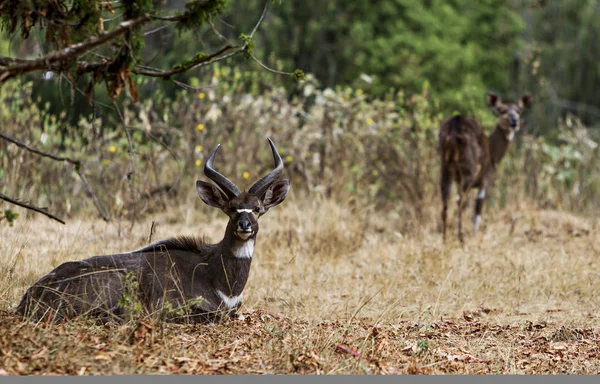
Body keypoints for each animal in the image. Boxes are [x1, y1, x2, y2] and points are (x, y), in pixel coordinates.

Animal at [17, 139, 290, 324]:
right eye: (232, 209)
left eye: (257, 208)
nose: (244, 225)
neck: (219, 277)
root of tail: (30, 297)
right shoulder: (169, 305)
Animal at [436, 92, 536, 242]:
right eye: (501, 110)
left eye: (518, 110)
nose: (514, 121)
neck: (493, 152)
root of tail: (454, 124)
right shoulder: (486, 180)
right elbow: (477, 212)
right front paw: (475, 237)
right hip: (468, 170)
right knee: (460, 201)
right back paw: (461, 238)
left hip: (445, 169)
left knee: (445, 203)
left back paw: (444, 239)